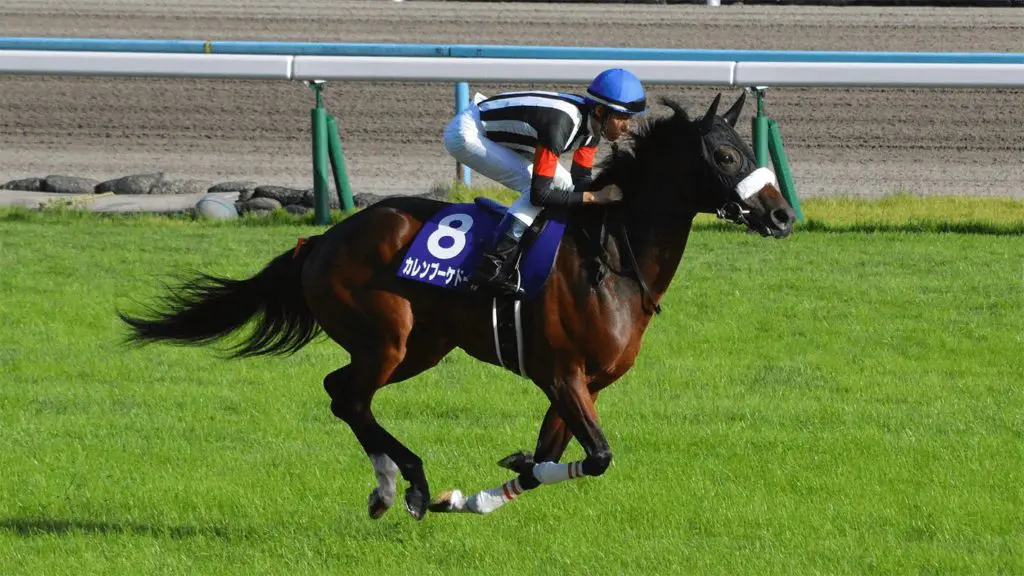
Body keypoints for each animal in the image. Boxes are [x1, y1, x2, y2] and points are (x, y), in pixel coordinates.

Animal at [118, 90, 796, 520]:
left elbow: (546, 458)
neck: (614, 258)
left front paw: (474, 498)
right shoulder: (562, 373)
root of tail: (322, 238)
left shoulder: (582, 384)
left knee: (343, 392)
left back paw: (391, 488)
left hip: (420, 345)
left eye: (750, 149)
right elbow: (598, 458)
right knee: (349, 396)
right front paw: (451, 494)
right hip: (388, 336)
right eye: (726, 155)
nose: (783, 216)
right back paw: (409, 483)